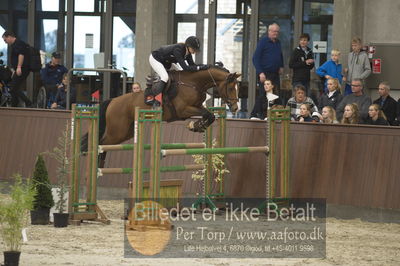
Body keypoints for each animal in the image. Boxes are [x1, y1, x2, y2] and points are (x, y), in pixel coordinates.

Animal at [82, 66, 241, 162]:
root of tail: (112, 101)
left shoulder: (196, 106)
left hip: (126, 132)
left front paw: (197, 125)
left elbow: (209, 115)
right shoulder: (183, 109)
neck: (193, 83)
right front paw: (195, 125)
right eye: (231, 88)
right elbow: (208, 114)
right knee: (101, 144)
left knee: (103, 145)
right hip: (117, 131)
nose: (235, 108)